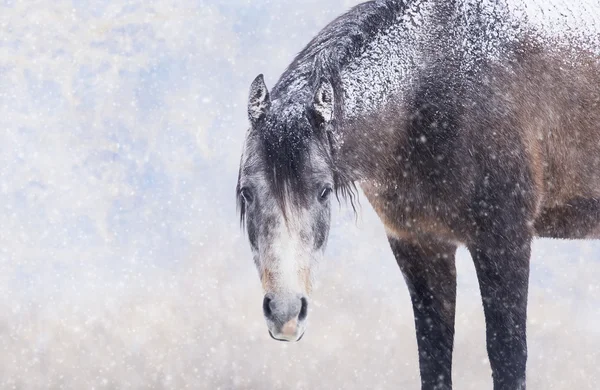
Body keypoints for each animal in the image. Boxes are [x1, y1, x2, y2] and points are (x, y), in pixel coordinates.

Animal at [236, 1, 600, 388]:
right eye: (247, 192)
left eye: (323, 191)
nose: (285, 313)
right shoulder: (420, 245)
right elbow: (433, 356)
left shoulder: (505, 241)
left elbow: (507, 355)